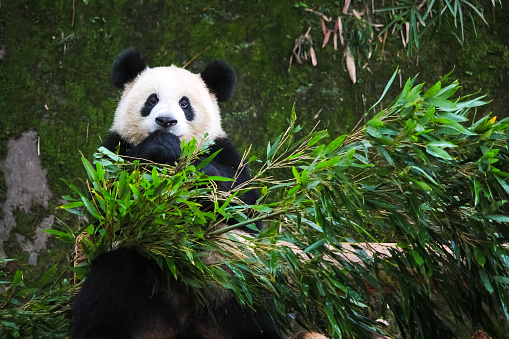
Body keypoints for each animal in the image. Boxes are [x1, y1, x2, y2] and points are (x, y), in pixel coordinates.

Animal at [72, 47, 280, 339]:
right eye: (152, 100)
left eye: (184, 104)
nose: (166, 121)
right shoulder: (112, 151)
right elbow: (106, 204)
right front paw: (160, 146)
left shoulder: (223, 151)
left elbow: (244, 205)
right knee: (105, 289)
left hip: (230, 277)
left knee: (255, 302)